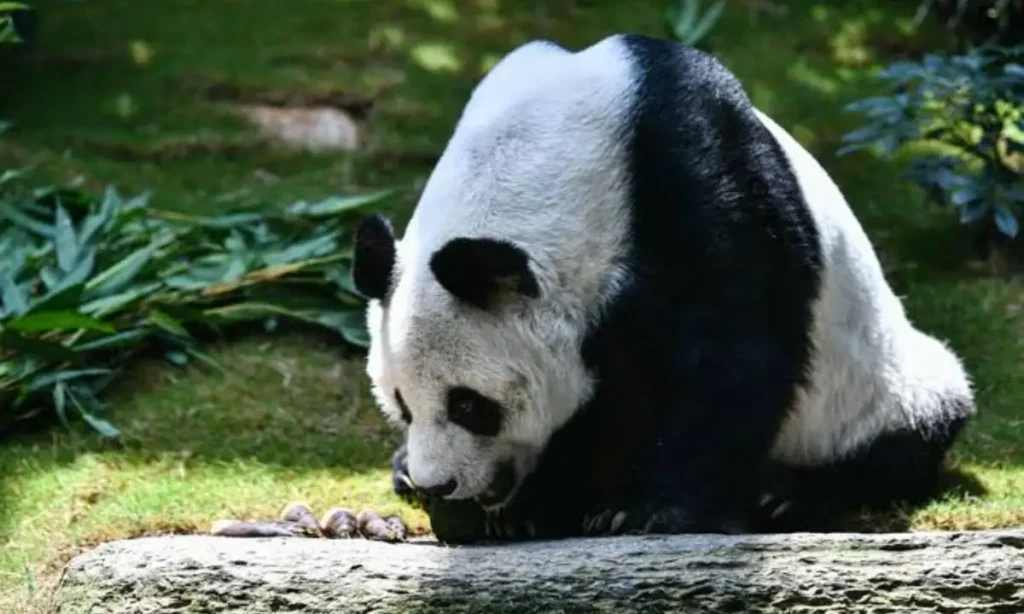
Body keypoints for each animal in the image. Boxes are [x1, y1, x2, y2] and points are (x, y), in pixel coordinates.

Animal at [351, 34, 977, 543]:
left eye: (469, 405)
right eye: (401, 403)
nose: (441, 483)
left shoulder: (698, 178)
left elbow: (732, 348)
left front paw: (642, 509)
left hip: (882, 388)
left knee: (903, 439)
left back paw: (785, 493)